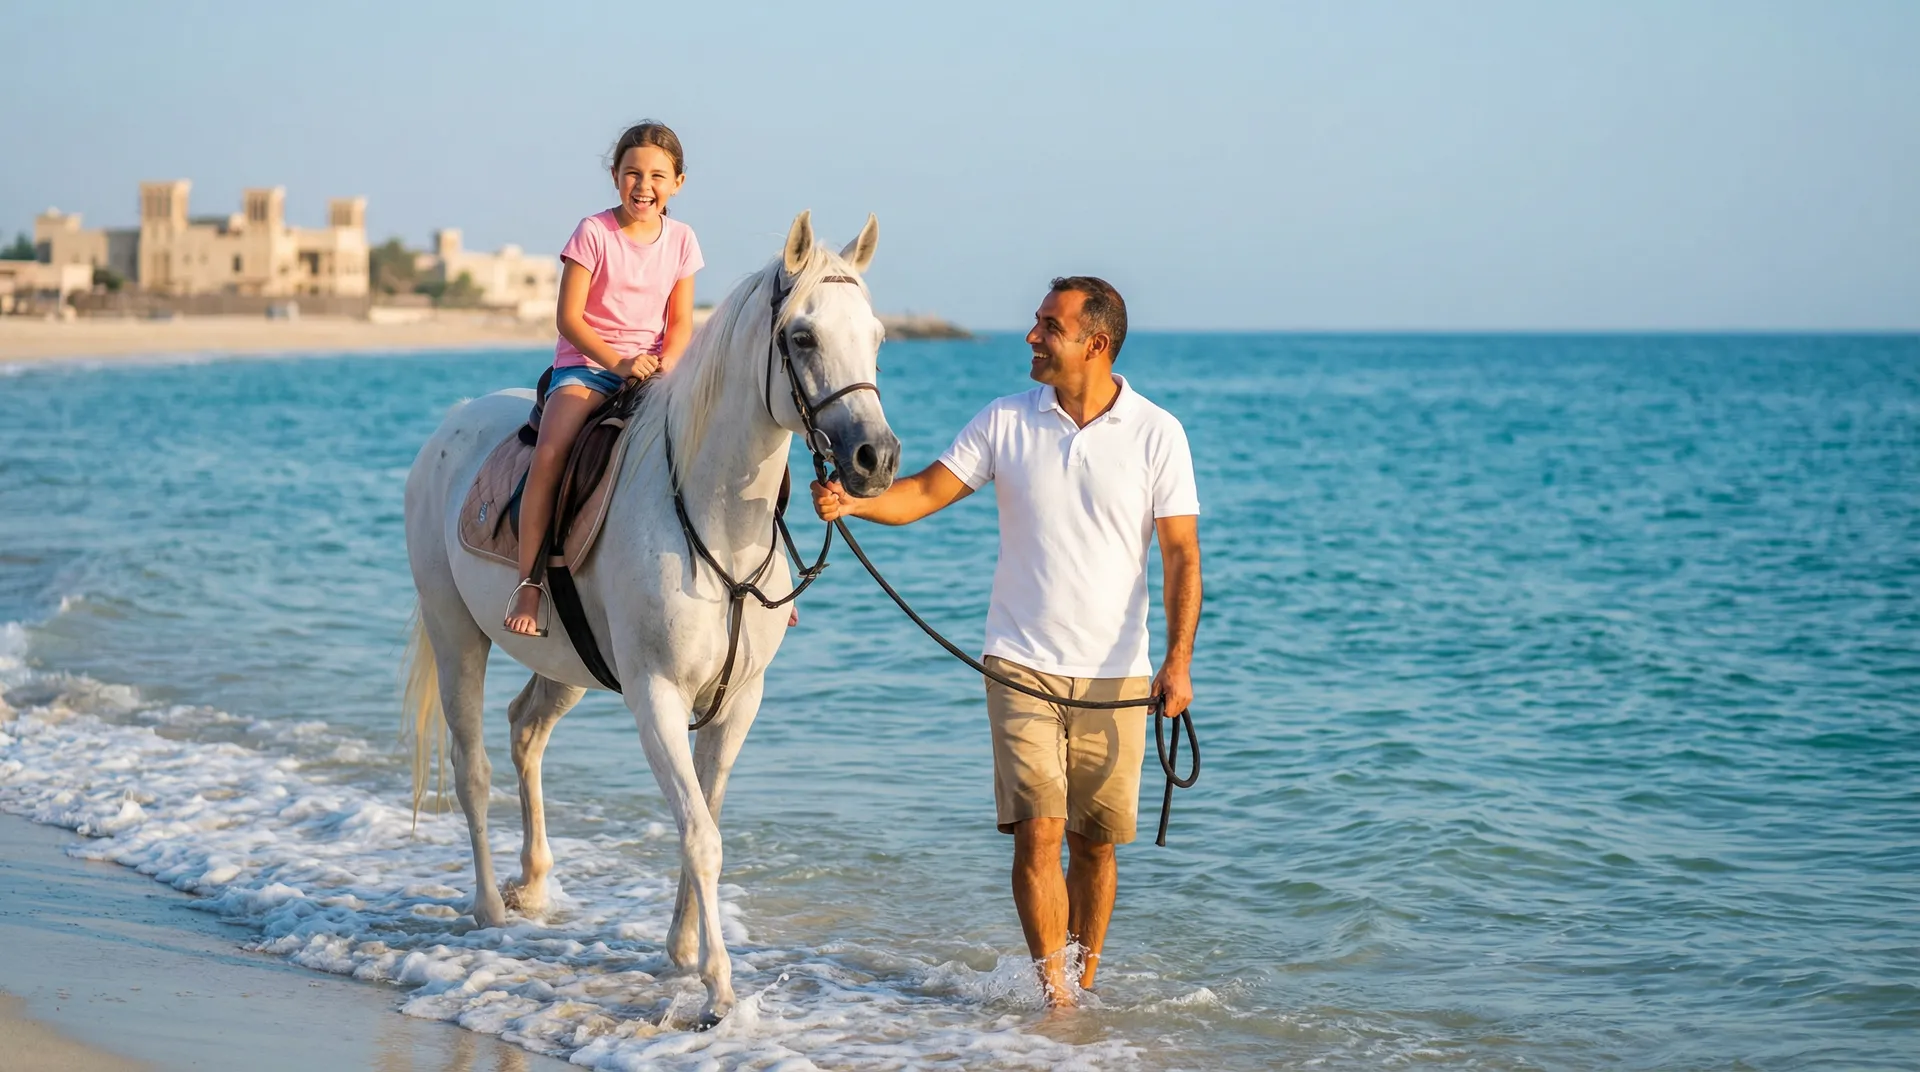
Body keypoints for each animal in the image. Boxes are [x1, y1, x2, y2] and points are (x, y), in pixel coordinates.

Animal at [400, 211, 899, 1025]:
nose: (875, 458)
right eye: (802, 337)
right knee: (472, 766)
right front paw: (718, 988)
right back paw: (489, 911)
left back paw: (532, 883)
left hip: (565, 664)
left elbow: (706, 819)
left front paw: (683, 950)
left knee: (525, 730)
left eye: (878, 336)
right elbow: (700, 835)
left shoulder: (738, 703)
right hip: (455, 635)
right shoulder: (656, 696)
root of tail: (451, 424)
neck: (714, 520)